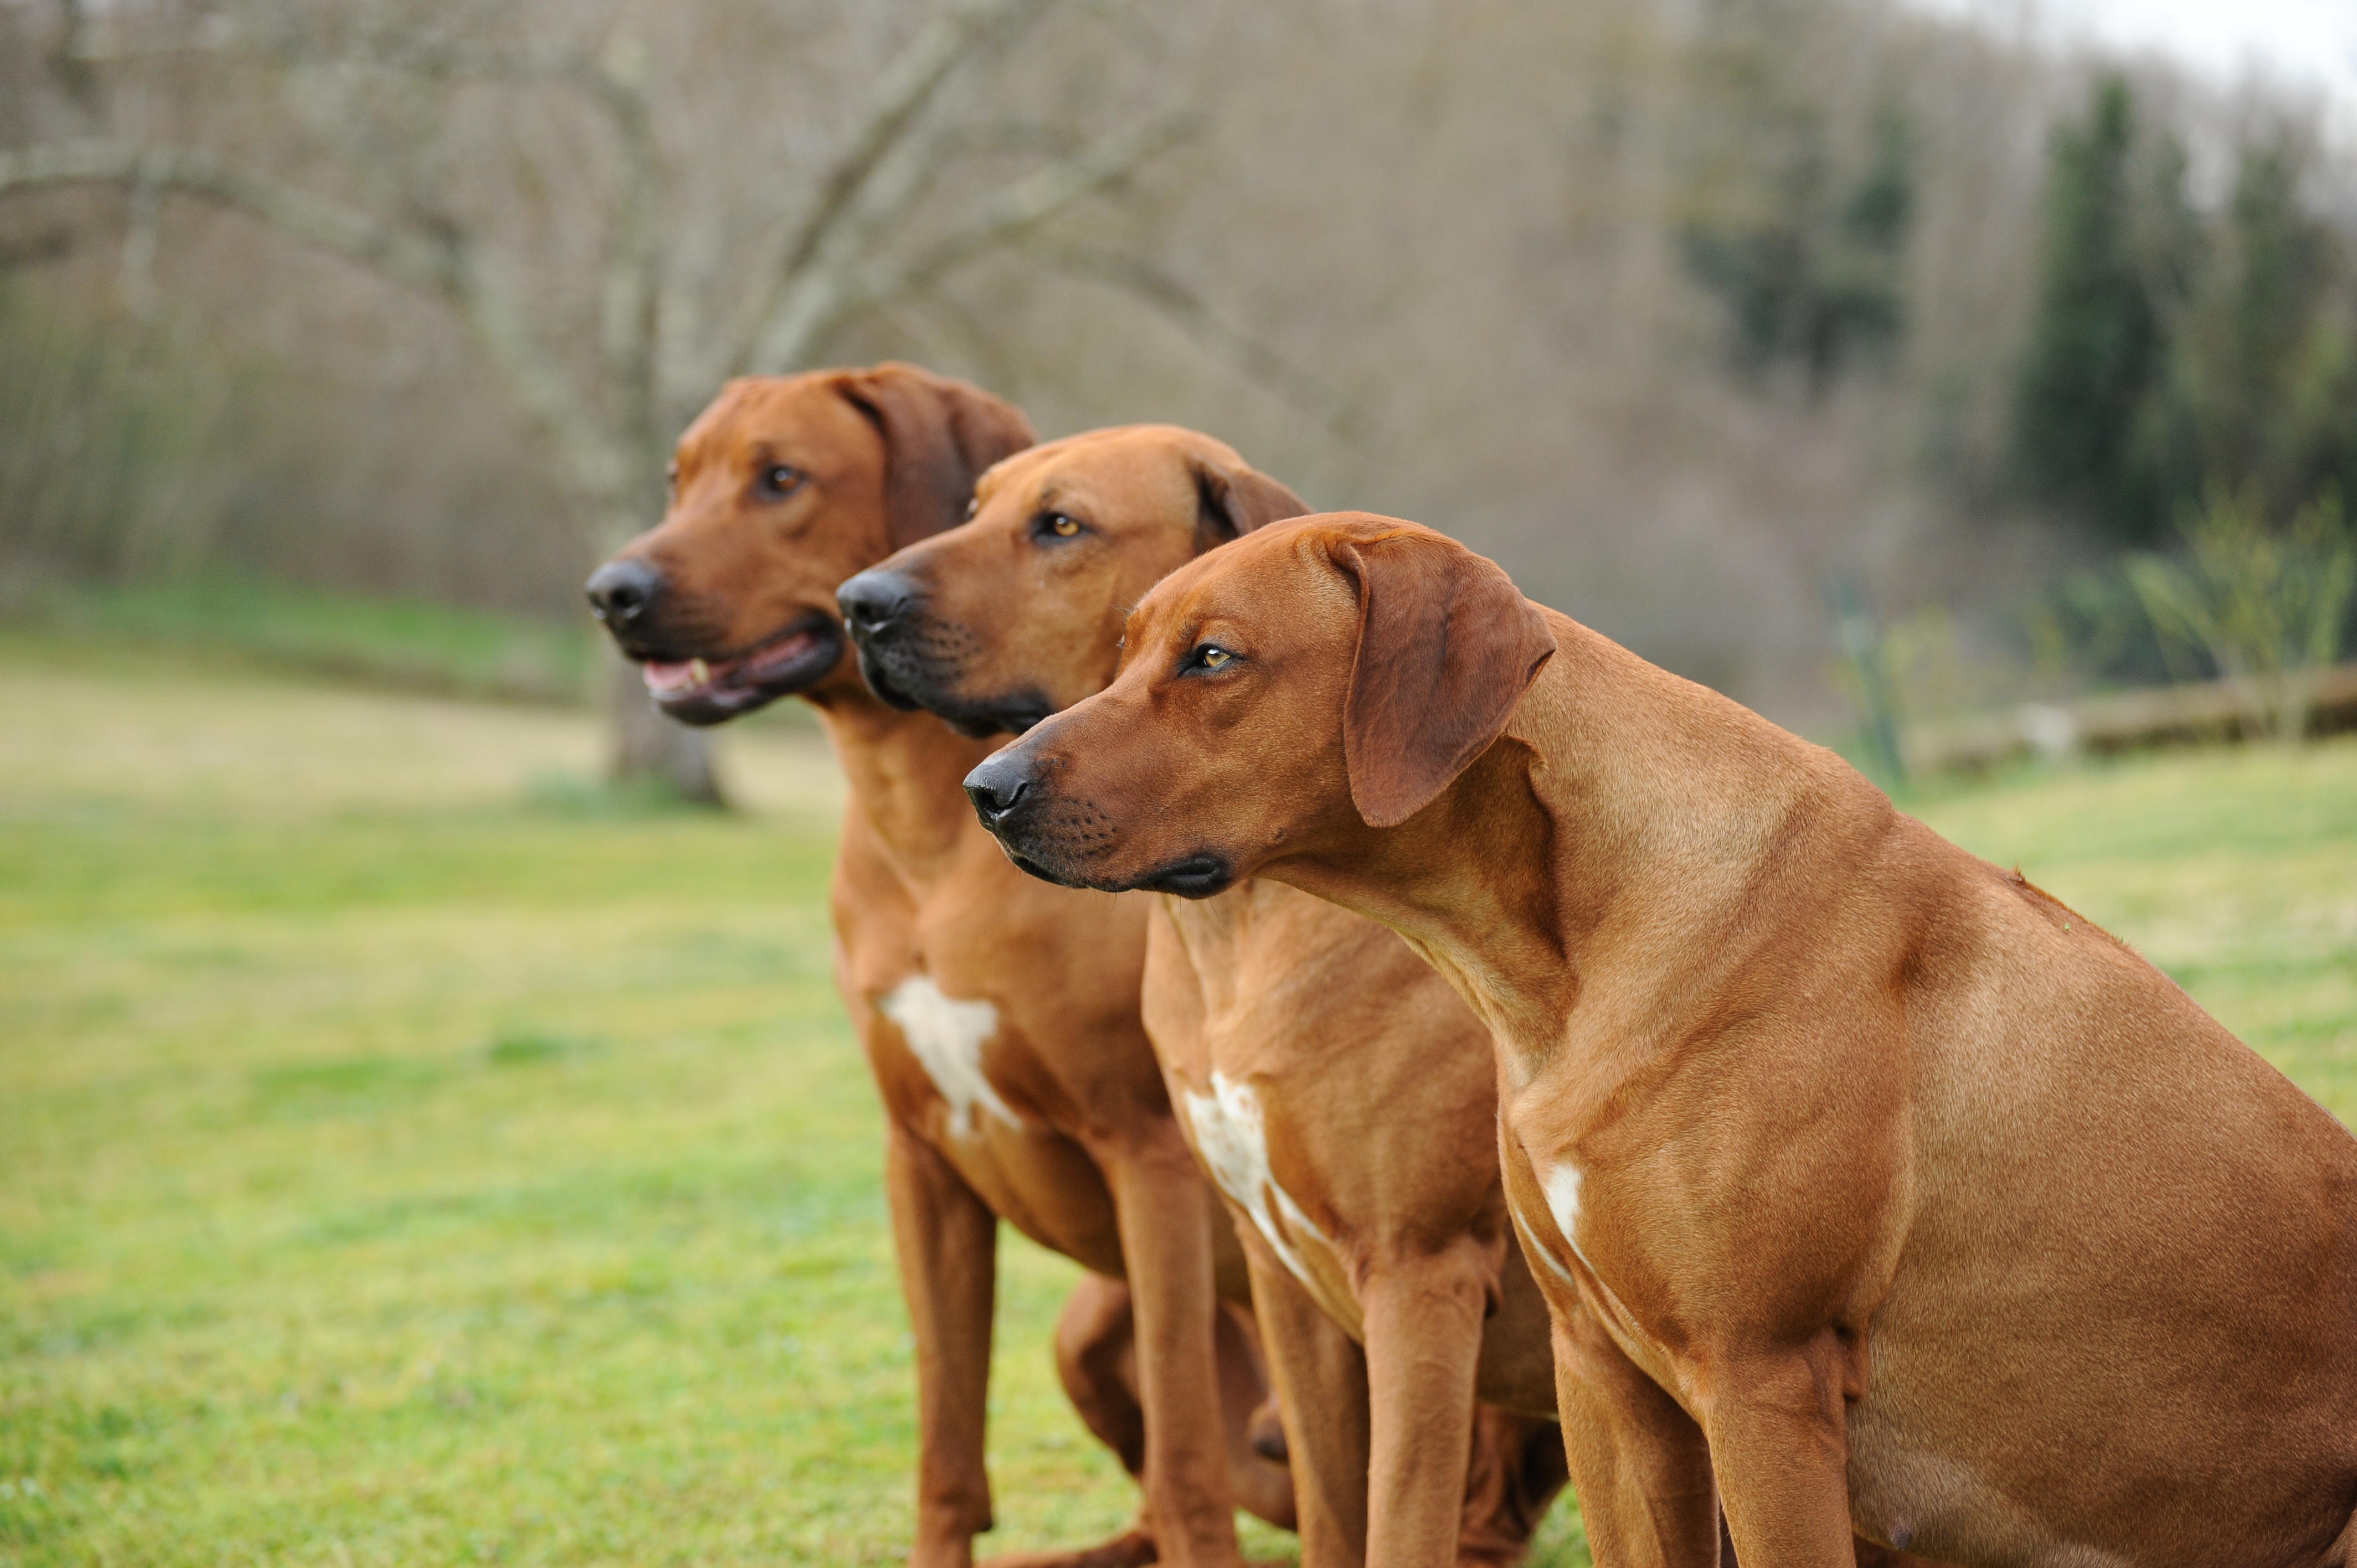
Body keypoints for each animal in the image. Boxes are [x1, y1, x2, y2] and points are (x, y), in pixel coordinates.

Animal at [582, 370, 1301, 1565]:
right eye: (681, 479)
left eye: (781, 478)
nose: (609, 592)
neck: (933, 844)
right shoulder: (918, 1161)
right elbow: (947, 1444)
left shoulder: (1149, 1161)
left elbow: (1189, 1463)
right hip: (1083, 1330)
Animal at [830, 422, 1565, 1556]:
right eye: (972, 506)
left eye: (1061, 524)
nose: (987, 791)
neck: (1239, 941)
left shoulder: (1407, 1272)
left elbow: (1361, 1512)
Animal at [956, 512, 2357, 1565]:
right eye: (1126, 649)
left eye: (1213, 659)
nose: (988, 789)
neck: (1558, 968)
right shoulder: (1606, 1376)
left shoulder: (1761, 1382)